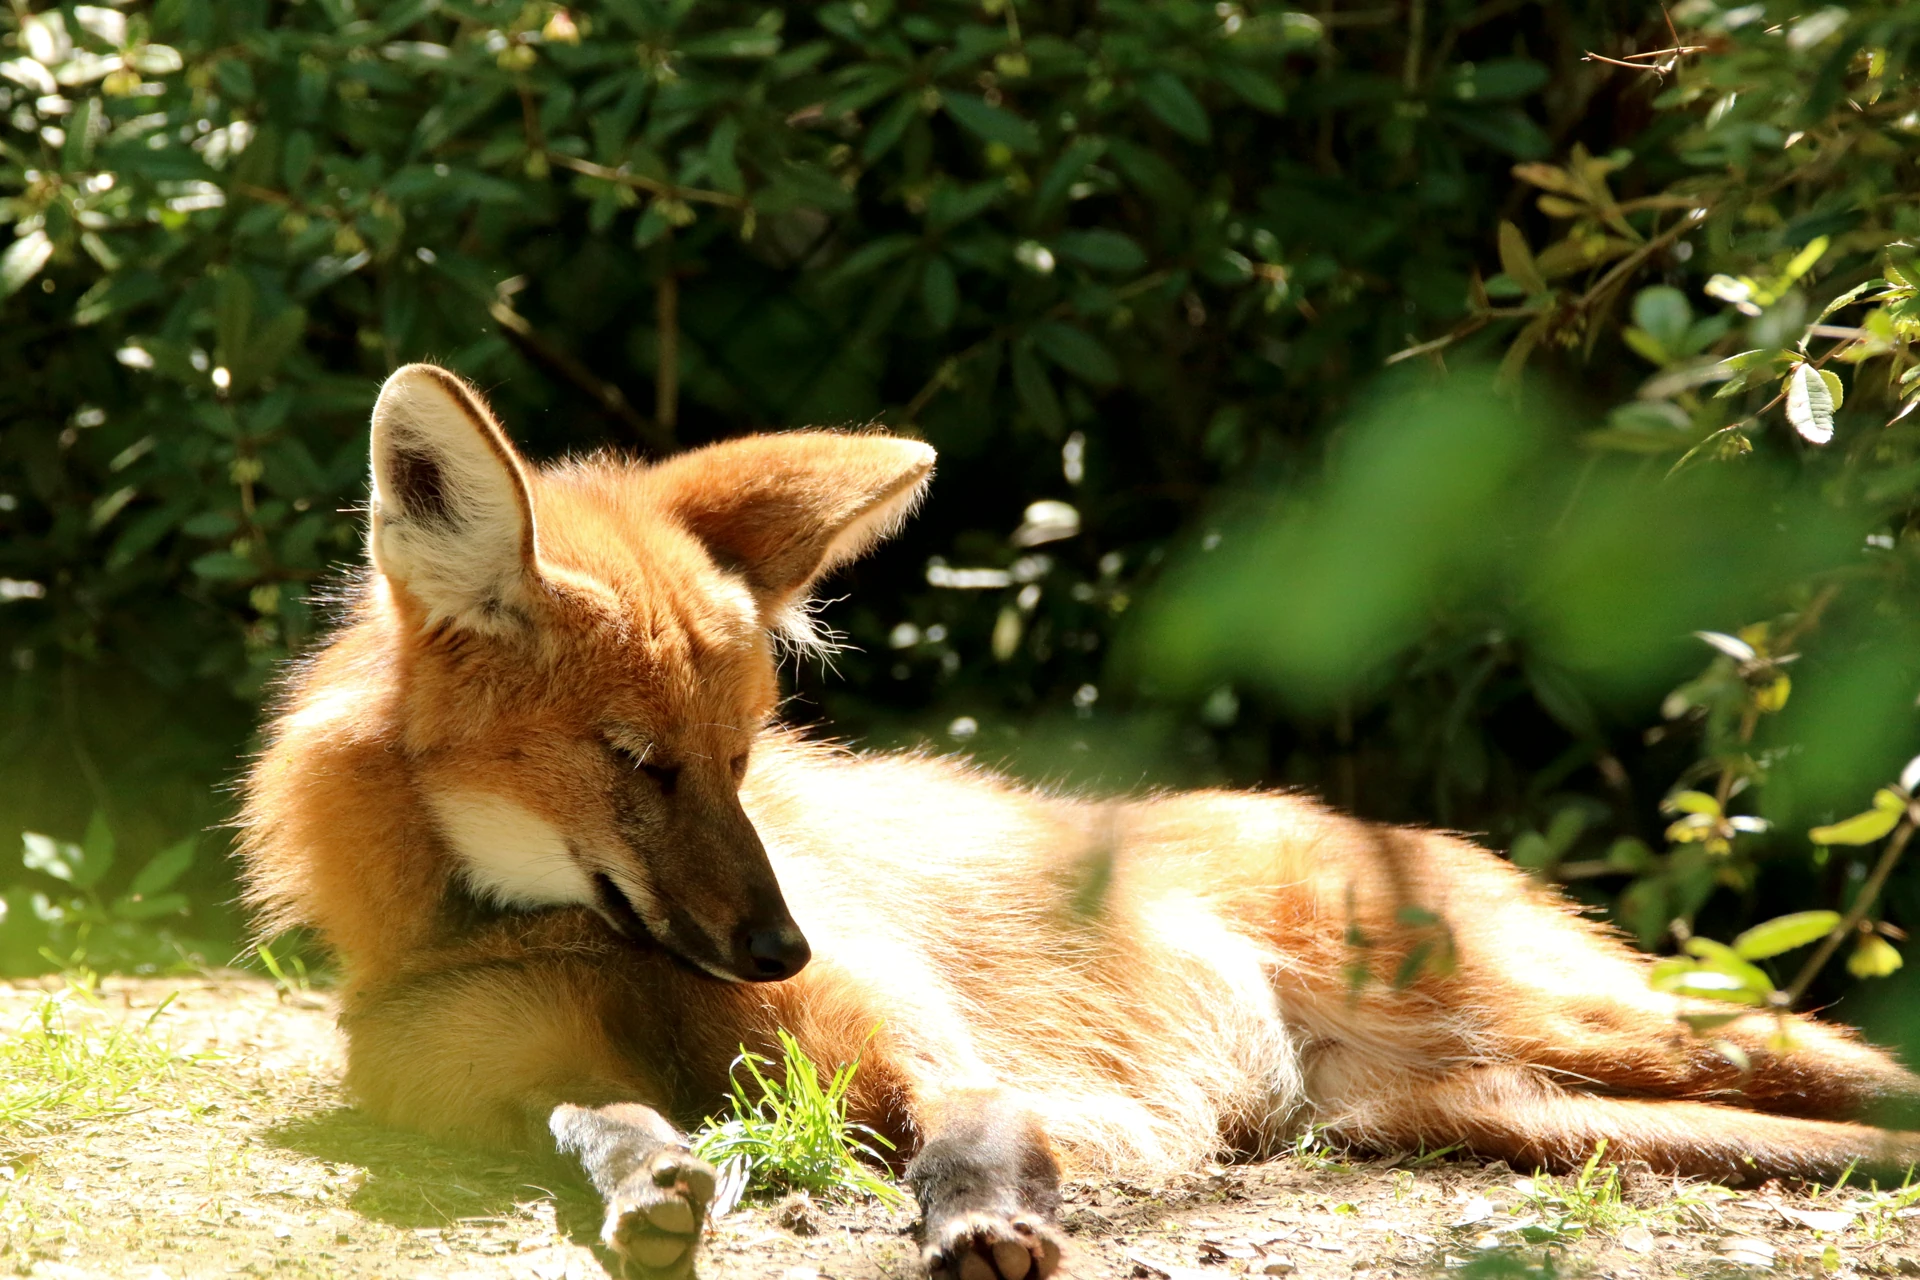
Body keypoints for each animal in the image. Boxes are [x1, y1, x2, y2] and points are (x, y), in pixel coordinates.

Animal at [240, 364, 1920, 1280]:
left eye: (741, 757)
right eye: (641, 763)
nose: (780, 950)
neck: (544, 929)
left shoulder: (923, 1044)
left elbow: (959, 1132)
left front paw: (984, 1232)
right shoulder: (500, 1072)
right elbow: (613, 1129)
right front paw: (658, 1191)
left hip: (1588, 1028)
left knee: (1848, 1065)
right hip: (1464, 1109)